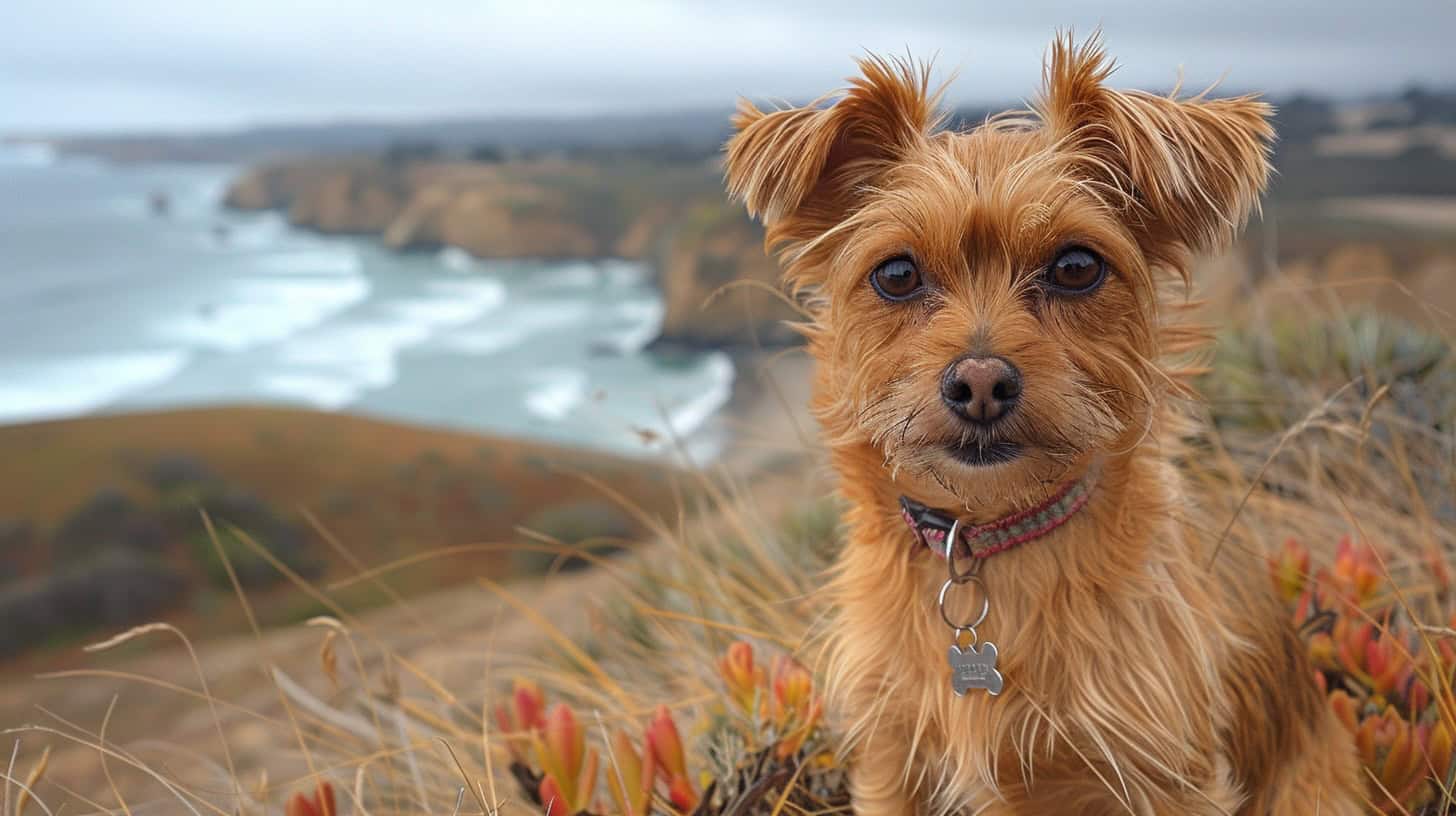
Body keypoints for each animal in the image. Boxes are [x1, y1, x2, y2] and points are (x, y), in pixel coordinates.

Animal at [728, 33, 1362, 816]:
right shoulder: (890, 757)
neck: (992, 540)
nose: (979, 384)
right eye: (897, 275)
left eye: (1076, 266)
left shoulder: (1164, 774)